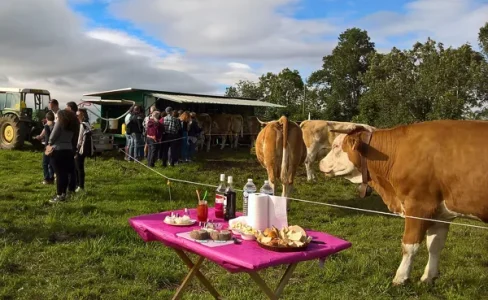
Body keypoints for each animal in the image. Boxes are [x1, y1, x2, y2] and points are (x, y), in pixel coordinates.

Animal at [318, 119, 488, 284]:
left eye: (336, 146)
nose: (320, 163)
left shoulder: (419, 206)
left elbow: (409, 246)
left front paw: (400, 278)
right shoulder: (441, 213)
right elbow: (435, 245)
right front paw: (428, 277)